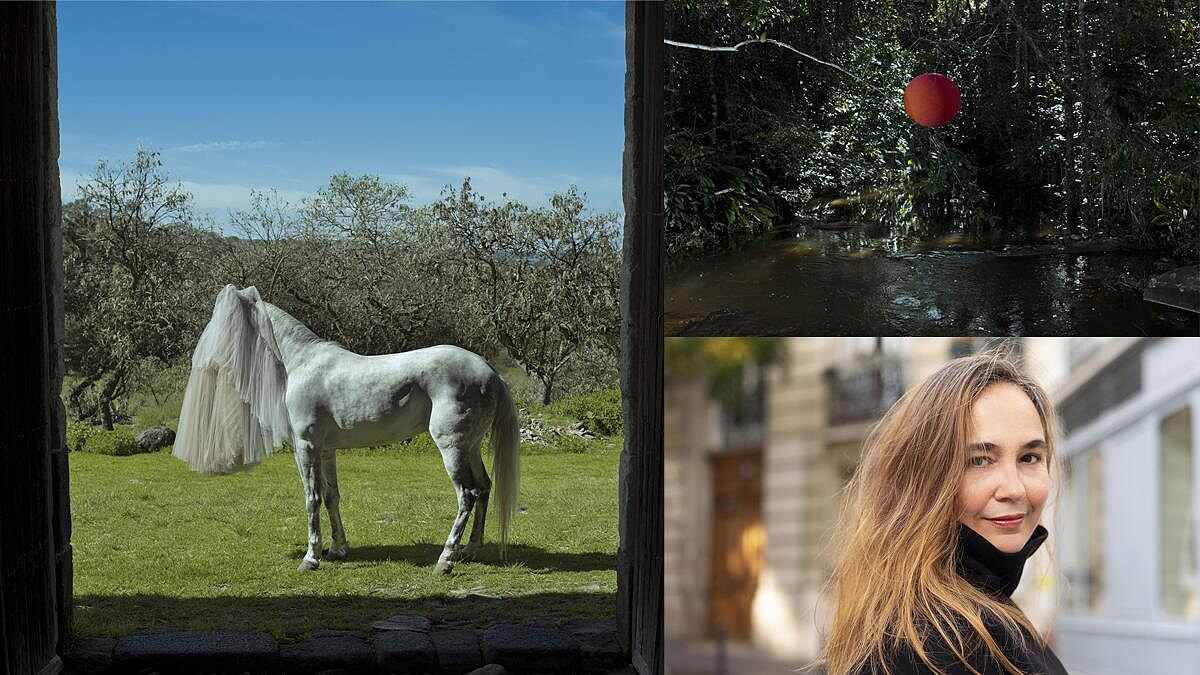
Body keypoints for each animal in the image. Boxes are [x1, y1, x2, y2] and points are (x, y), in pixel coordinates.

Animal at [173, 284, 520, 574]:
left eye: (226, 321)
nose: (204, 358)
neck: (302, 363)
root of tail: (491, 372)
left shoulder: (306, 447)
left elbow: (311, 498)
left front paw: (310, 558)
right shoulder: (327, 450)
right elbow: (331, 496)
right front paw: (337, 549)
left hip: (452, 448)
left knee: (467, 495)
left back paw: (445, 559)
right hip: (470, 446)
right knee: (484, 488)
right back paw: (470, 550)